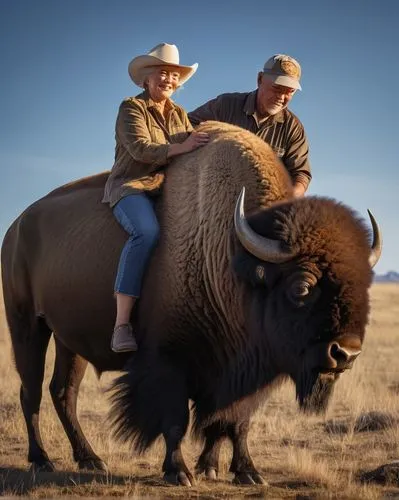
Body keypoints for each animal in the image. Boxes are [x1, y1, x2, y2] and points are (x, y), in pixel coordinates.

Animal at [0, 121, 382, 484]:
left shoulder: (244, 370)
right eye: (301, 286)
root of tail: (16, 228)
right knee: (31, 392)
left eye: (365, 283)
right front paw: (179, 472)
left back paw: (90, 459)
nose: (345, 354)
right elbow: (177, 420)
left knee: (63, 392)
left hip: (69, 341)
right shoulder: (169, 360)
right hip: (28, 326)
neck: (232, 257)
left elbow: (233, 422)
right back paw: (42, 460)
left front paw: (239, 471)